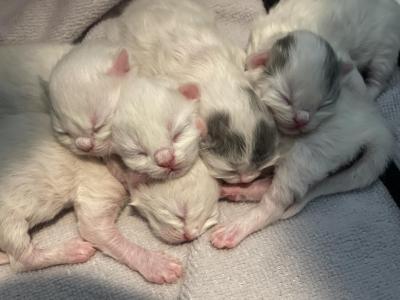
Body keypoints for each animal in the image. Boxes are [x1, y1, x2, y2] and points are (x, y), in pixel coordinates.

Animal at [247, 0, 400, 135]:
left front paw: (362, 97)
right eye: (284, 97)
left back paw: (370, 92)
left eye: (323, 105)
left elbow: (355, 79)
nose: (302, 120)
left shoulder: (340, 54)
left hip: (387, 46)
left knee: (378, 78)